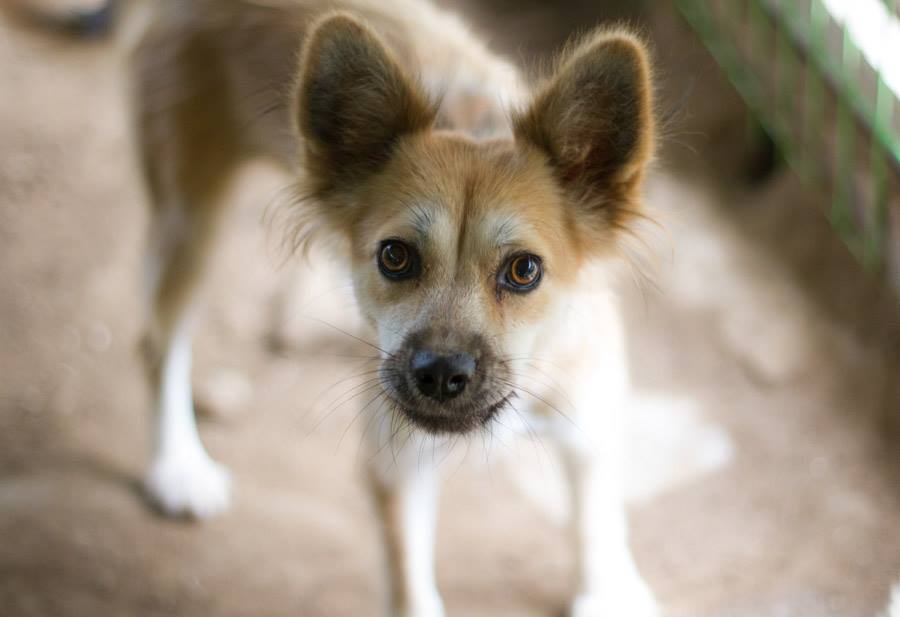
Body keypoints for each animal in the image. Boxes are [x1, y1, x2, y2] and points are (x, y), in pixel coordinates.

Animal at [35, 0, 660, 612]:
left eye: (524, 270)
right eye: (395, 256)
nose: (439, 376)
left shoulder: (590, 411)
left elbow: (597, 512)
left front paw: (607, 590)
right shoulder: (397, 460)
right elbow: (411, 588)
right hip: (189, 217)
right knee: (157, 342)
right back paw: (178, 466)